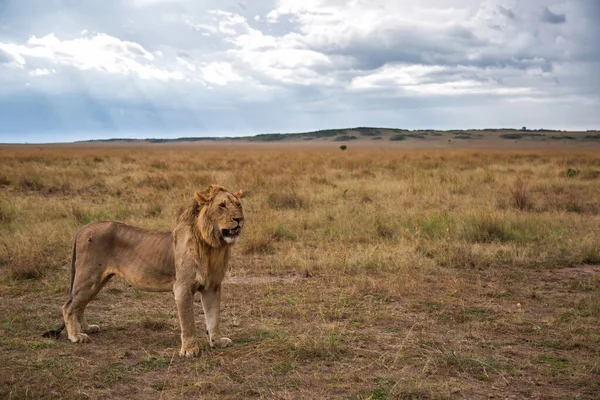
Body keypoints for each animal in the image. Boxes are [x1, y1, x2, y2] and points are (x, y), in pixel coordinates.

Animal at [42, 184, 245, 356]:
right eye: (222, 206)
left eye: (238, 204)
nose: (239, 219)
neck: (213, 246)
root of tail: (84, 227)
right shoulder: (183, 287)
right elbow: (188, 322)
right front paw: (190, 350)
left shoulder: (212, 287)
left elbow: (214, 317)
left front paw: (217, 342)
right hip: (88, 277)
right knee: (69, 306)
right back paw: (76, 336)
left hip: (97, 280)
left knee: (80, 304)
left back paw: (86, 328)